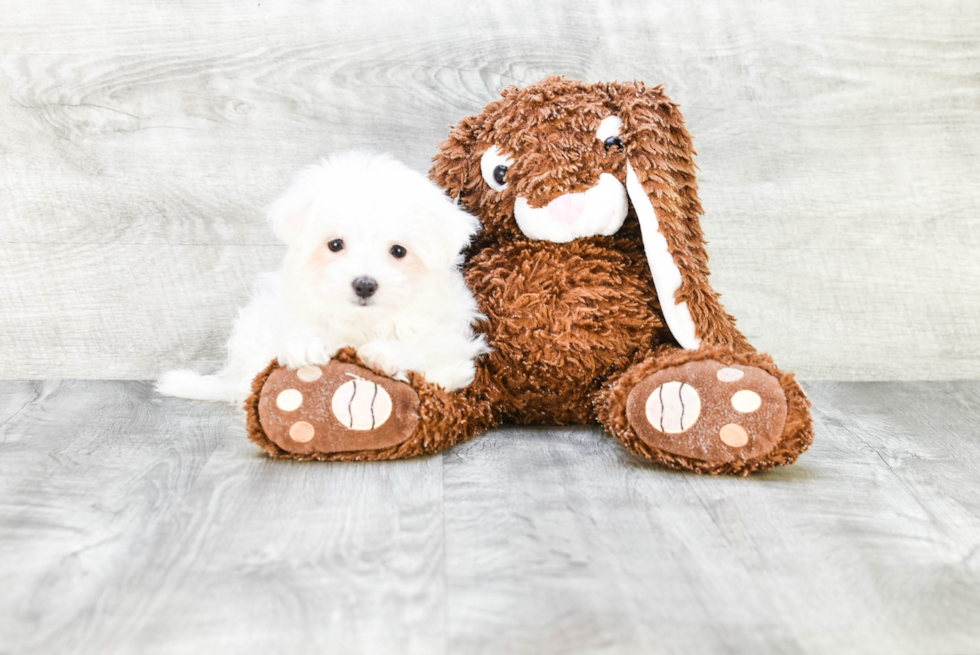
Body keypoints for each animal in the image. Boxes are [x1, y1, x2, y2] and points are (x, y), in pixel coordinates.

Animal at [159, 151, 490, 404]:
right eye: (335, 245)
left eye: (398, 251)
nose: (365, 285)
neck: (363, 323)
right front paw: (306, 345)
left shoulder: (453, 348)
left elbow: (433, 357)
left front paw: (386, 354)